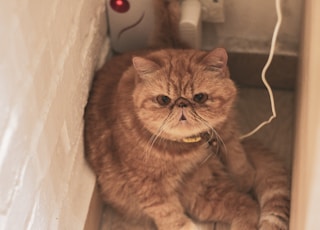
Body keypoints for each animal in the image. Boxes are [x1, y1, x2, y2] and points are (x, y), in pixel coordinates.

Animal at [83, 0, 290, 230]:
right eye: (163, 100)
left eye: (199, 97)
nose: (182, 103)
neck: (192, 145)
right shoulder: (151, 187)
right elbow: (171, 216)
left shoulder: (227, 130)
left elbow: (237, 155)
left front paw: (245, 176)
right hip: (202, 197)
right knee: (246, 205)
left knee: (247, 204)